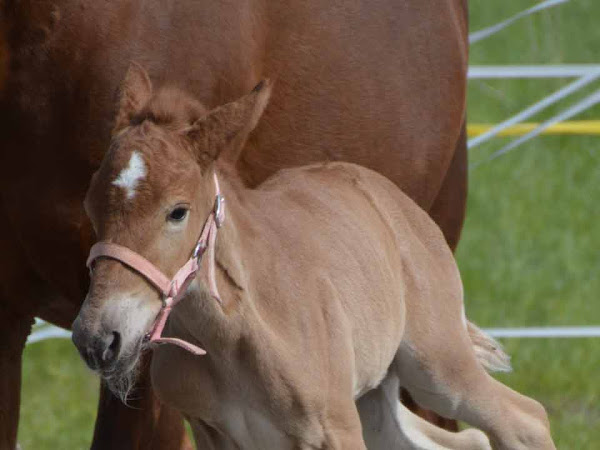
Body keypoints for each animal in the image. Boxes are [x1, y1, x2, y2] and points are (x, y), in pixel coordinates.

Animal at [72, 75, 556, 448]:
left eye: (177, 212)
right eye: (91, 207)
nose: (98, 338)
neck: (230, 336)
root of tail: (396, 203)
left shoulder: (334, 429)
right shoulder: (213, 433)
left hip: (437, 365)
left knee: (526, 419)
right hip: (376, 400)